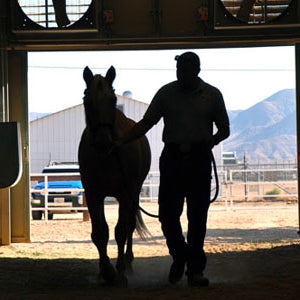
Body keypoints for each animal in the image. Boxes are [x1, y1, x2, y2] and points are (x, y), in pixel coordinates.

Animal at [78, 65, 151, 286]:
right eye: (87, 101)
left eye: (112, 100)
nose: (103, 142)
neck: (107, 157)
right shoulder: (93, 195)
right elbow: (99, 233)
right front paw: (105, 271)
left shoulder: (126, 195)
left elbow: (120, 231)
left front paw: (119, 273)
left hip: (135, 192)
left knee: (129, 226)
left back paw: (128, 262)